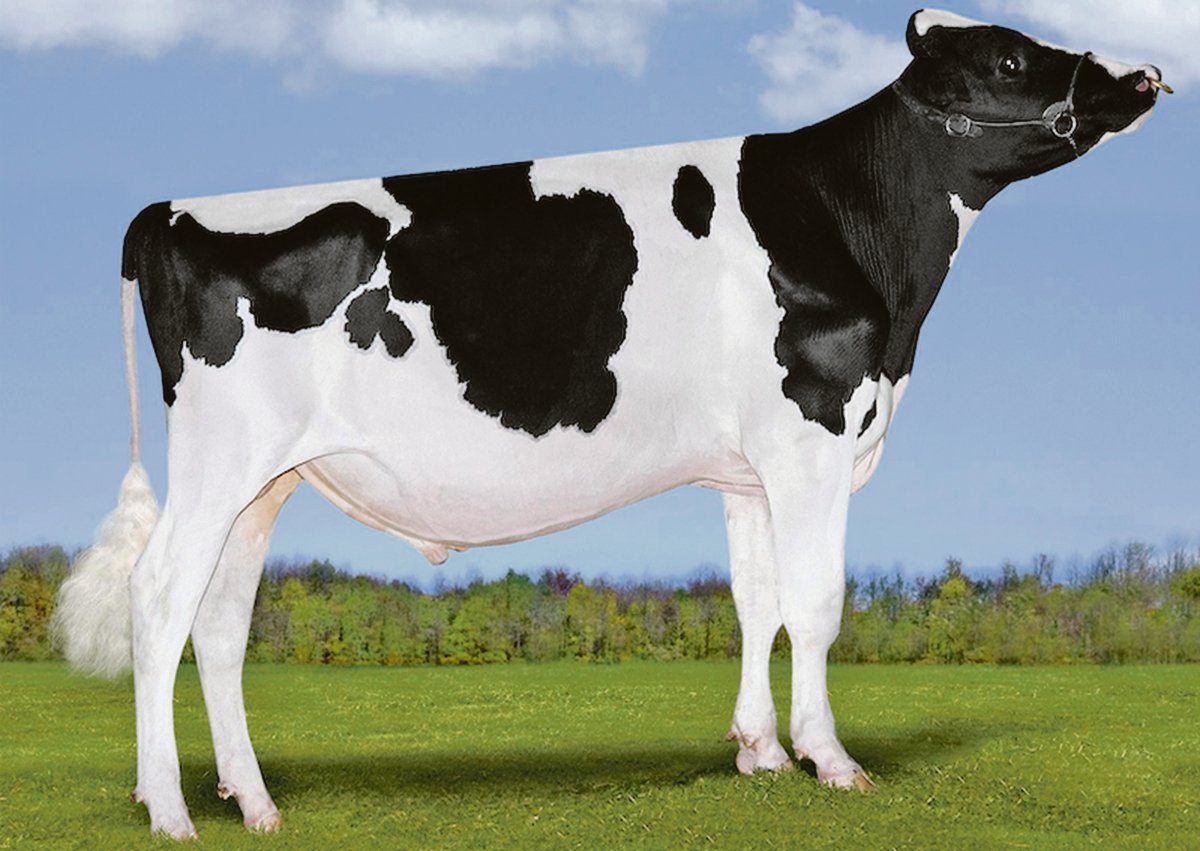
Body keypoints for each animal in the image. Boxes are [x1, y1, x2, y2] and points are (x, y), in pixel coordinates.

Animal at [54, 8, 1168, 839]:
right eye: (1011, 58)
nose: (1149, 71)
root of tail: (169, 208)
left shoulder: (747, 469)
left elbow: (756, 602)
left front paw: (762, 752)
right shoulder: (811, 433)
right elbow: (815, 603)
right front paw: (833, 759)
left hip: (265, 479)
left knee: (218, 620)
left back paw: (254, 800)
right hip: (221, 457)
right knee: (160, 597)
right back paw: (169, 809)